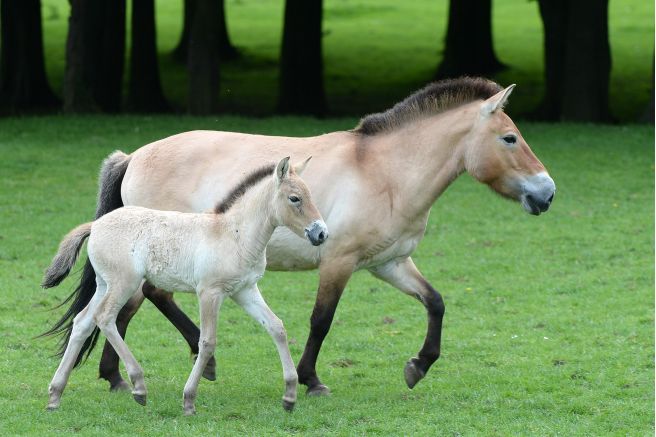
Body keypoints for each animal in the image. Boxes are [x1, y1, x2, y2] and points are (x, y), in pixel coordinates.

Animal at [42, 156, 326, 412]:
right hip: (124, 283)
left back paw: (55, 395)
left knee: (82, 322)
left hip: (105, 285)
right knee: (105, 318)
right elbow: (207, 341)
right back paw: (138, 386)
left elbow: (277, 327)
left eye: (310, 195)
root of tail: (96, 225)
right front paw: (189, 399)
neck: (234, 234)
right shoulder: (209, 292)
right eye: (295, 198)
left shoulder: (245, 290)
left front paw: (290, 395)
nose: (321, 233)